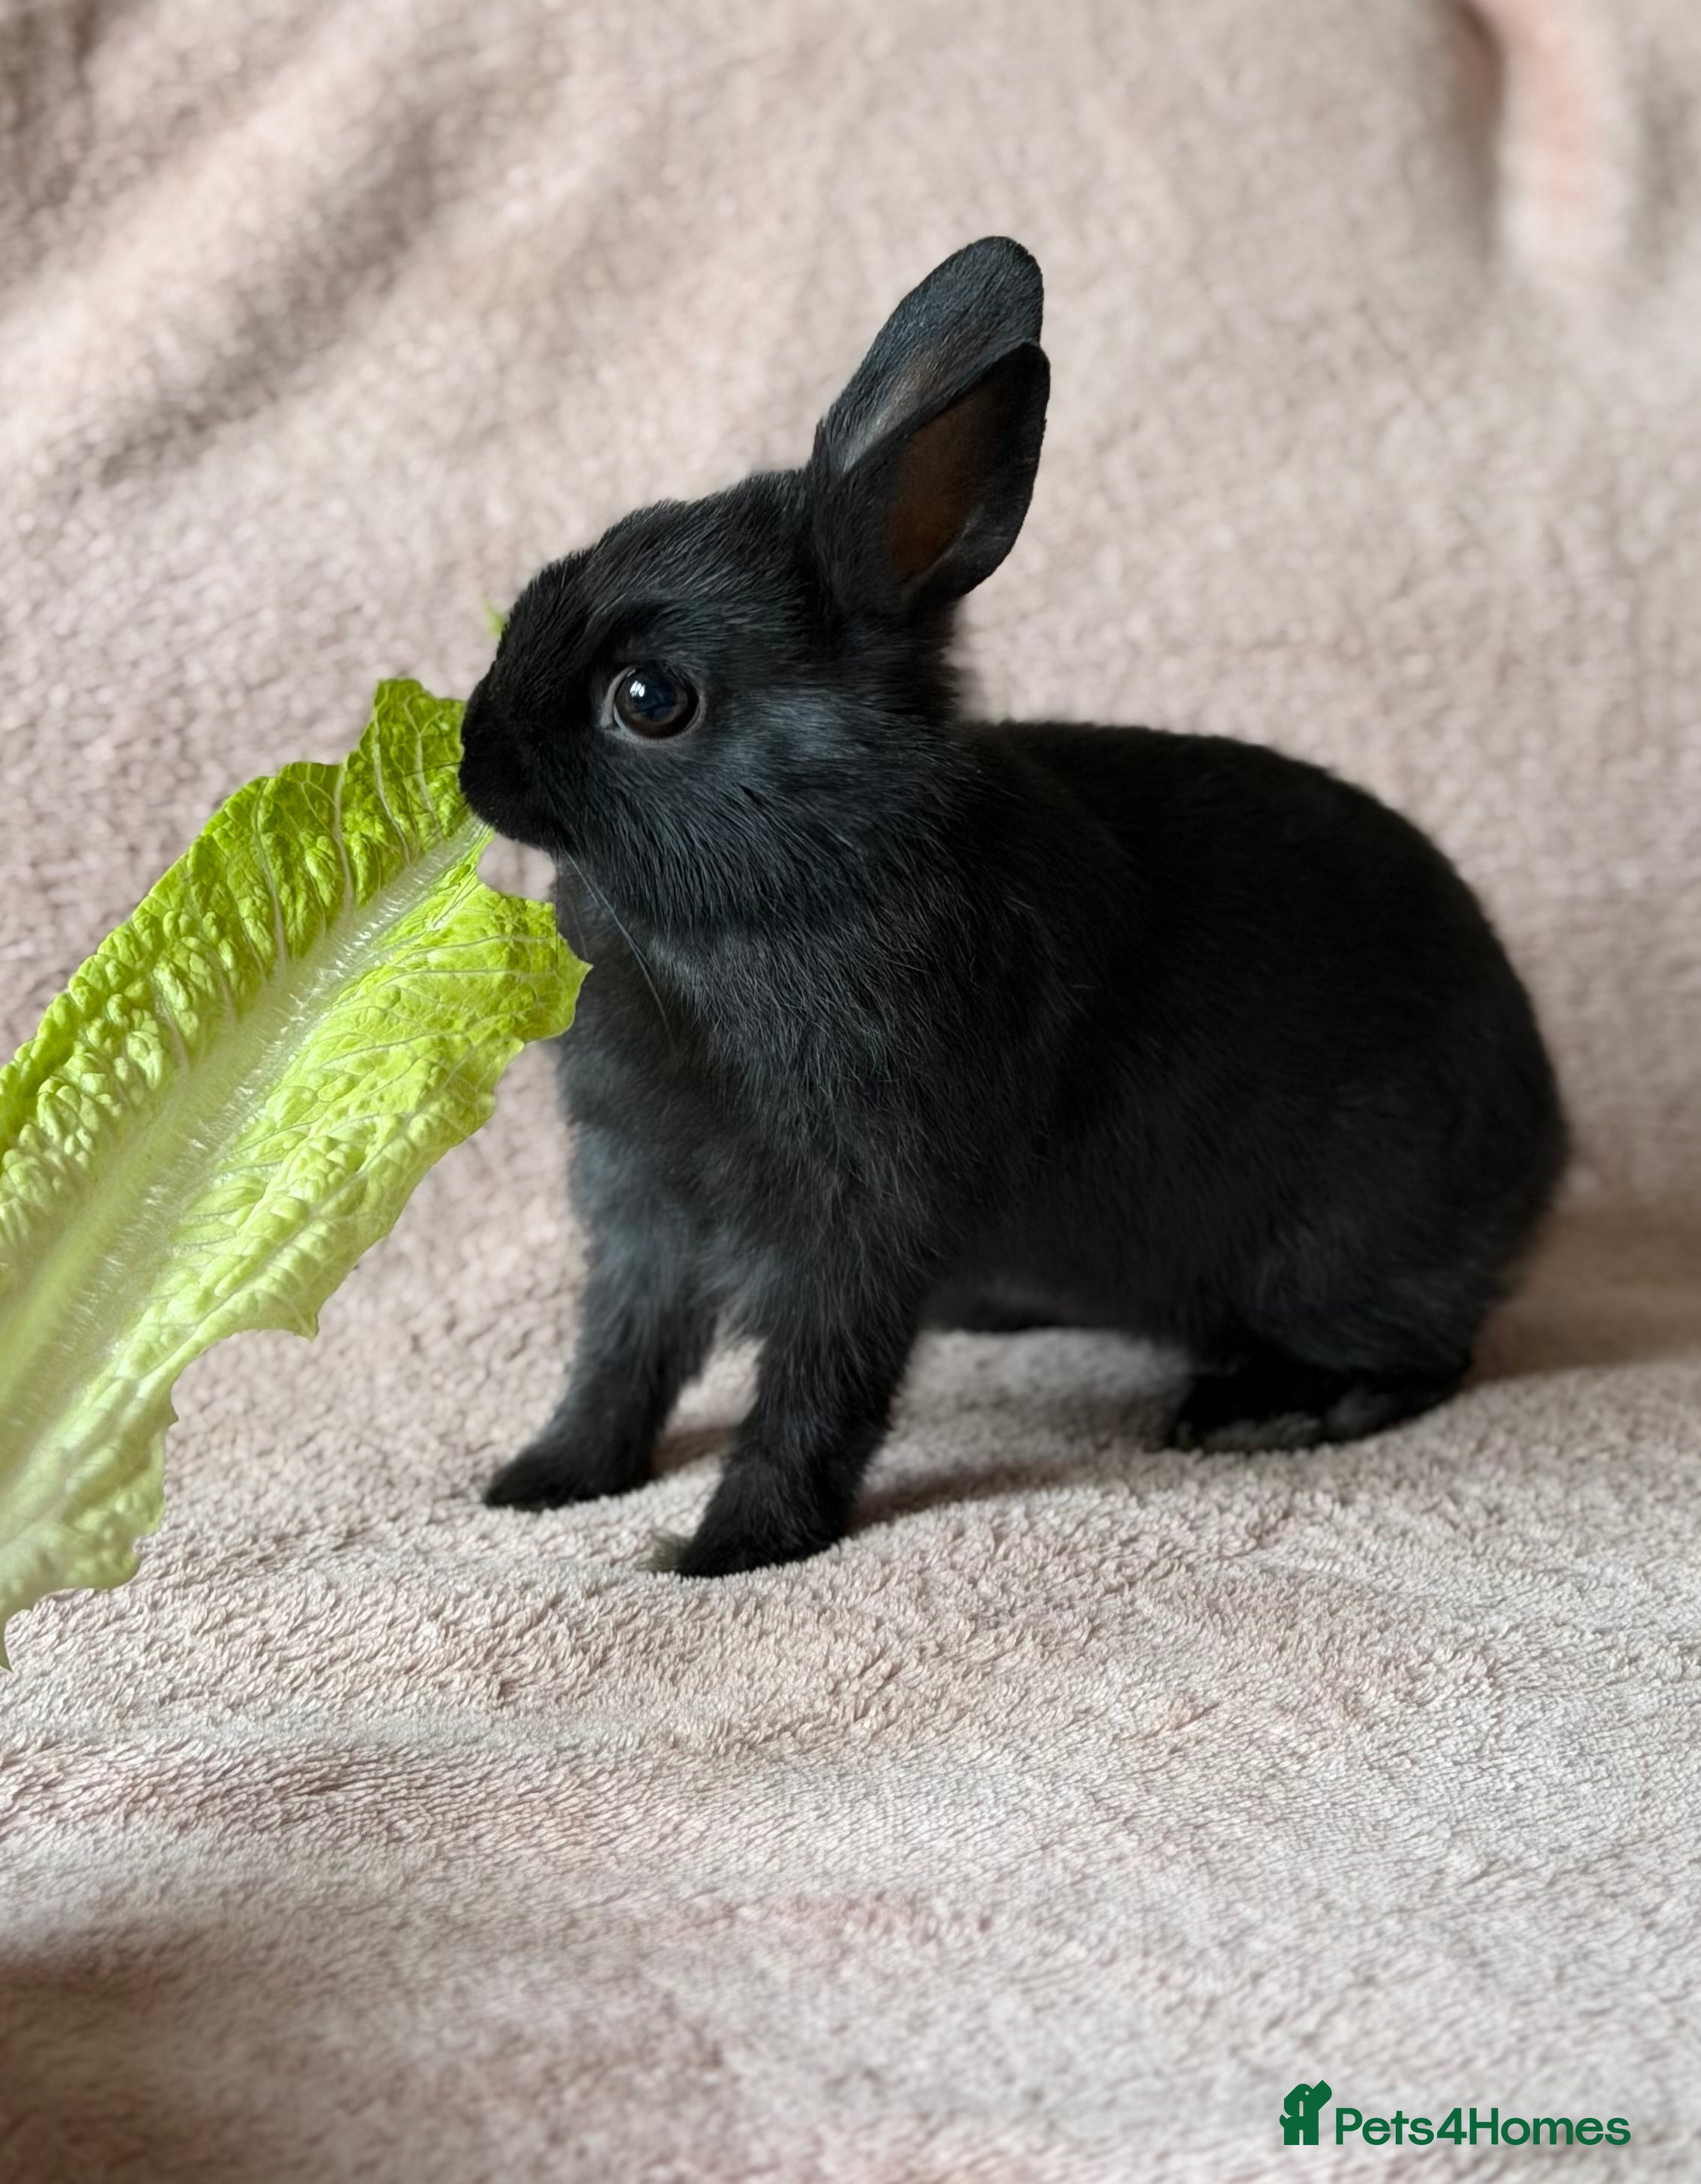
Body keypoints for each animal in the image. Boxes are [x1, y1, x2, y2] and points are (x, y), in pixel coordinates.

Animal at [458, 236, 1567, 1579]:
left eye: (651, 698)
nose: (470, 756)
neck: (787, 885)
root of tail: (1546, 1141)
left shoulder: (861, 1219)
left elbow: (817, 1392)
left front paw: (731, 1548)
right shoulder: (641, 1215)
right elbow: (619, 1362)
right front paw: (542, 1481)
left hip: (1342, 1252)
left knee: (1425, 1357)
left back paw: (1267, 1412)